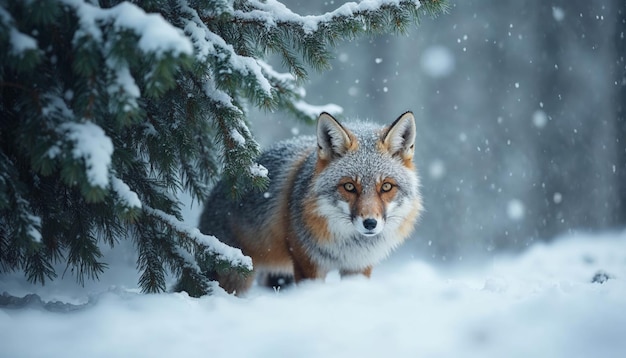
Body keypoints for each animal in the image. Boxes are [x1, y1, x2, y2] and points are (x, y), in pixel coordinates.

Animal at [199, 111, 424, 294]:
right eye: (349, 186)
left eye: (386, 187)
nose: (370, 223)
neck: (348, 247)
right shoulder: (307, 263)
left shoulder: (359, 267)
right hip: (236, 275)